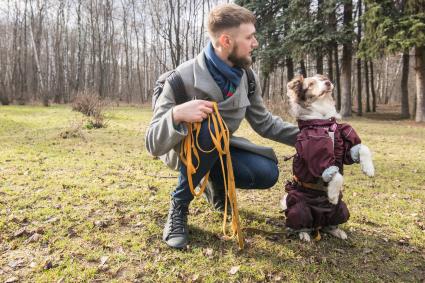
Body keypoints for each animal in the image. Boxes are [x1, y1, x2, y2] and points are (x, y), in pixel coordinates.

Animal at [278, 74, 374, 243]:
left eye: (323, 79)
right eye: (310, 84)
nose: (328, 83)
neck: (324, 123)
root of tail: (317, 224)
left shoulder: (345, 144)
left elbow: (361, 148)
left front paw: (368, 168)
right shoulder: (315, 153)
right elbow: (336, 174)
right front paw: (333, 195)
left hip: (340, 209)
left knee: (331, 222)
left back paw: (336, 230)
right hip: (300, 207)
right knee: (299, 222)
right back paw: (304, 233)